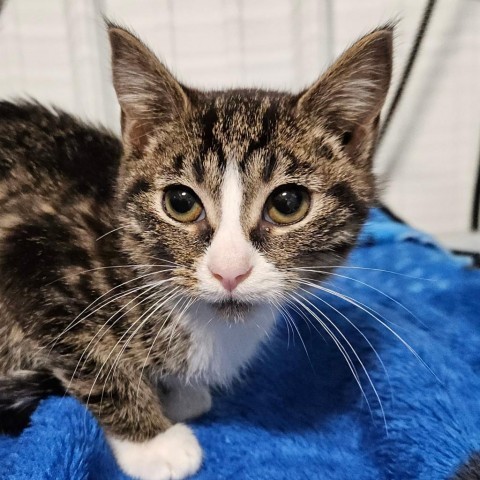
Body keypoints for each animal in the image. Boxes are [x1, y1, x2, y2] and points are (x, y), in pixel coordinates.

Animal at [0, 22, 392, 480]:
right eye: (181, 202)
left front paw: (182, 393)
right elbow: (92, 357)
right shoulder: (32, 254)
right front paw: (153, 442)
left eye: (288, 203)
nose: (230, 271)